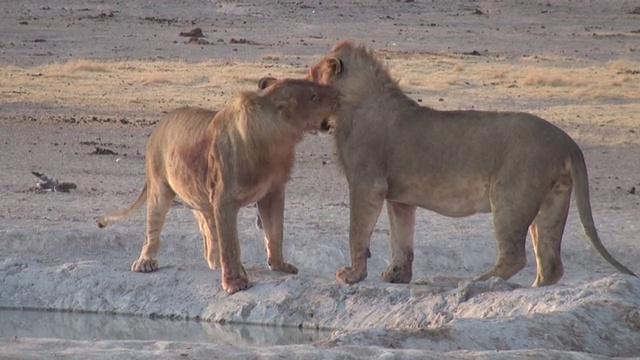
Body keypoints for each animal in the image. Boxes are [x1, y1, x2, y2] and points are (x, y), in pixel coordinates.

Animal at [99, 77, 340, 294]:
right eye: (314, 96)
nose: (338, 95)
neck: (279, 140)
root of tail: (161, 122)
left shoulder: (272, 192)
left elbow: (275, 232)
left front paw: (279, 266)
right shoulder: (225, 199)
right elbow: (231, 244)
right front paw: (234, 282)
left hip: (202, 198)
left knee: (210, 235)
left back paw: (215, 263)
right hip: (160, 185)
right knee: (154, 227)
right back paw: (146, 262)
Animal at [308, 39, 636, 286]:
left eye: (311, 76)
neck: (351, 102)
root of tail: (568, 141)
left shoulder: (367, 184)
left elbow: (357, 231)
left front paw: (353, 274)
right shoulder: (400, 198)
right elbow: (401, 239)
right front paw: (396, 275)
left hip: (511, 198)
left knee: (515, 257)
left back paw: (477, 281)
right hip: (553, 202)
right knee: (550, 263)